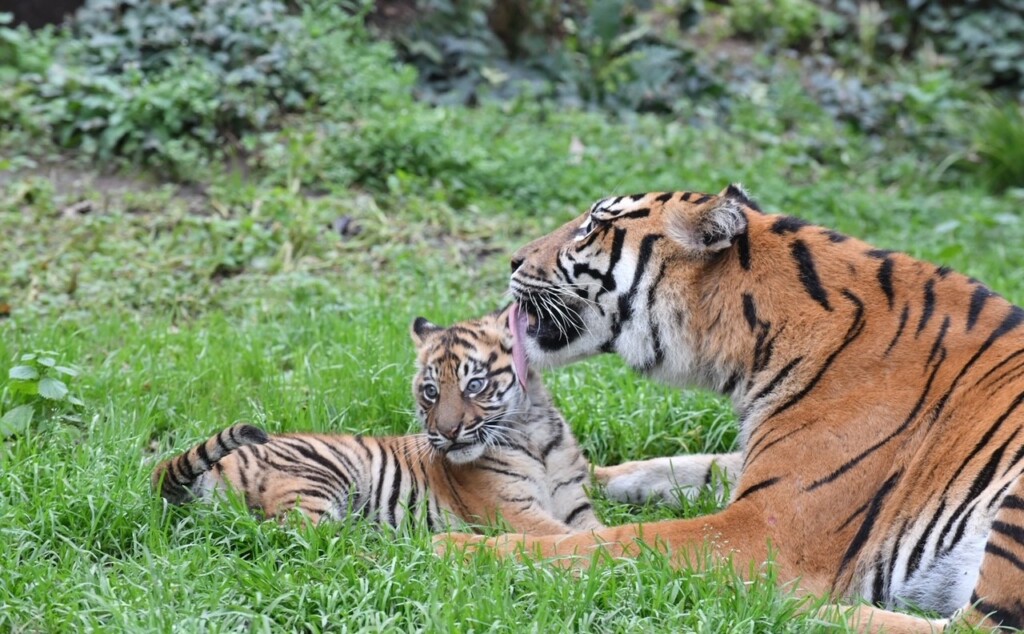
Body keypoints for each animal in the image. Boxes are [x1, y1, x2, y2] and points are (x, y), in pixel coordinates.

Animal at [152, 306, 603, 535]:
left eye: (474, 385)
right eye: (431, 391)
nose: (447, 433)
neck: (534, 435)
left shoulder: (575, 501)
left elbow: (588, 526)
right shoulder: (513, 511)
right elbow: (574, 537)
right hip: (319, 478)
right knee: (303, 539)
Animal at [437, 185, 1024, 633]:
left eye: (592, 227)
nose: (512, 260)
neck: (749, 352)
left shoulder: (766, 528)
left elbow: (614, 541)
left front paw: (454, 547)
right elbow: (668, 468)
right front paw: (581, 475)